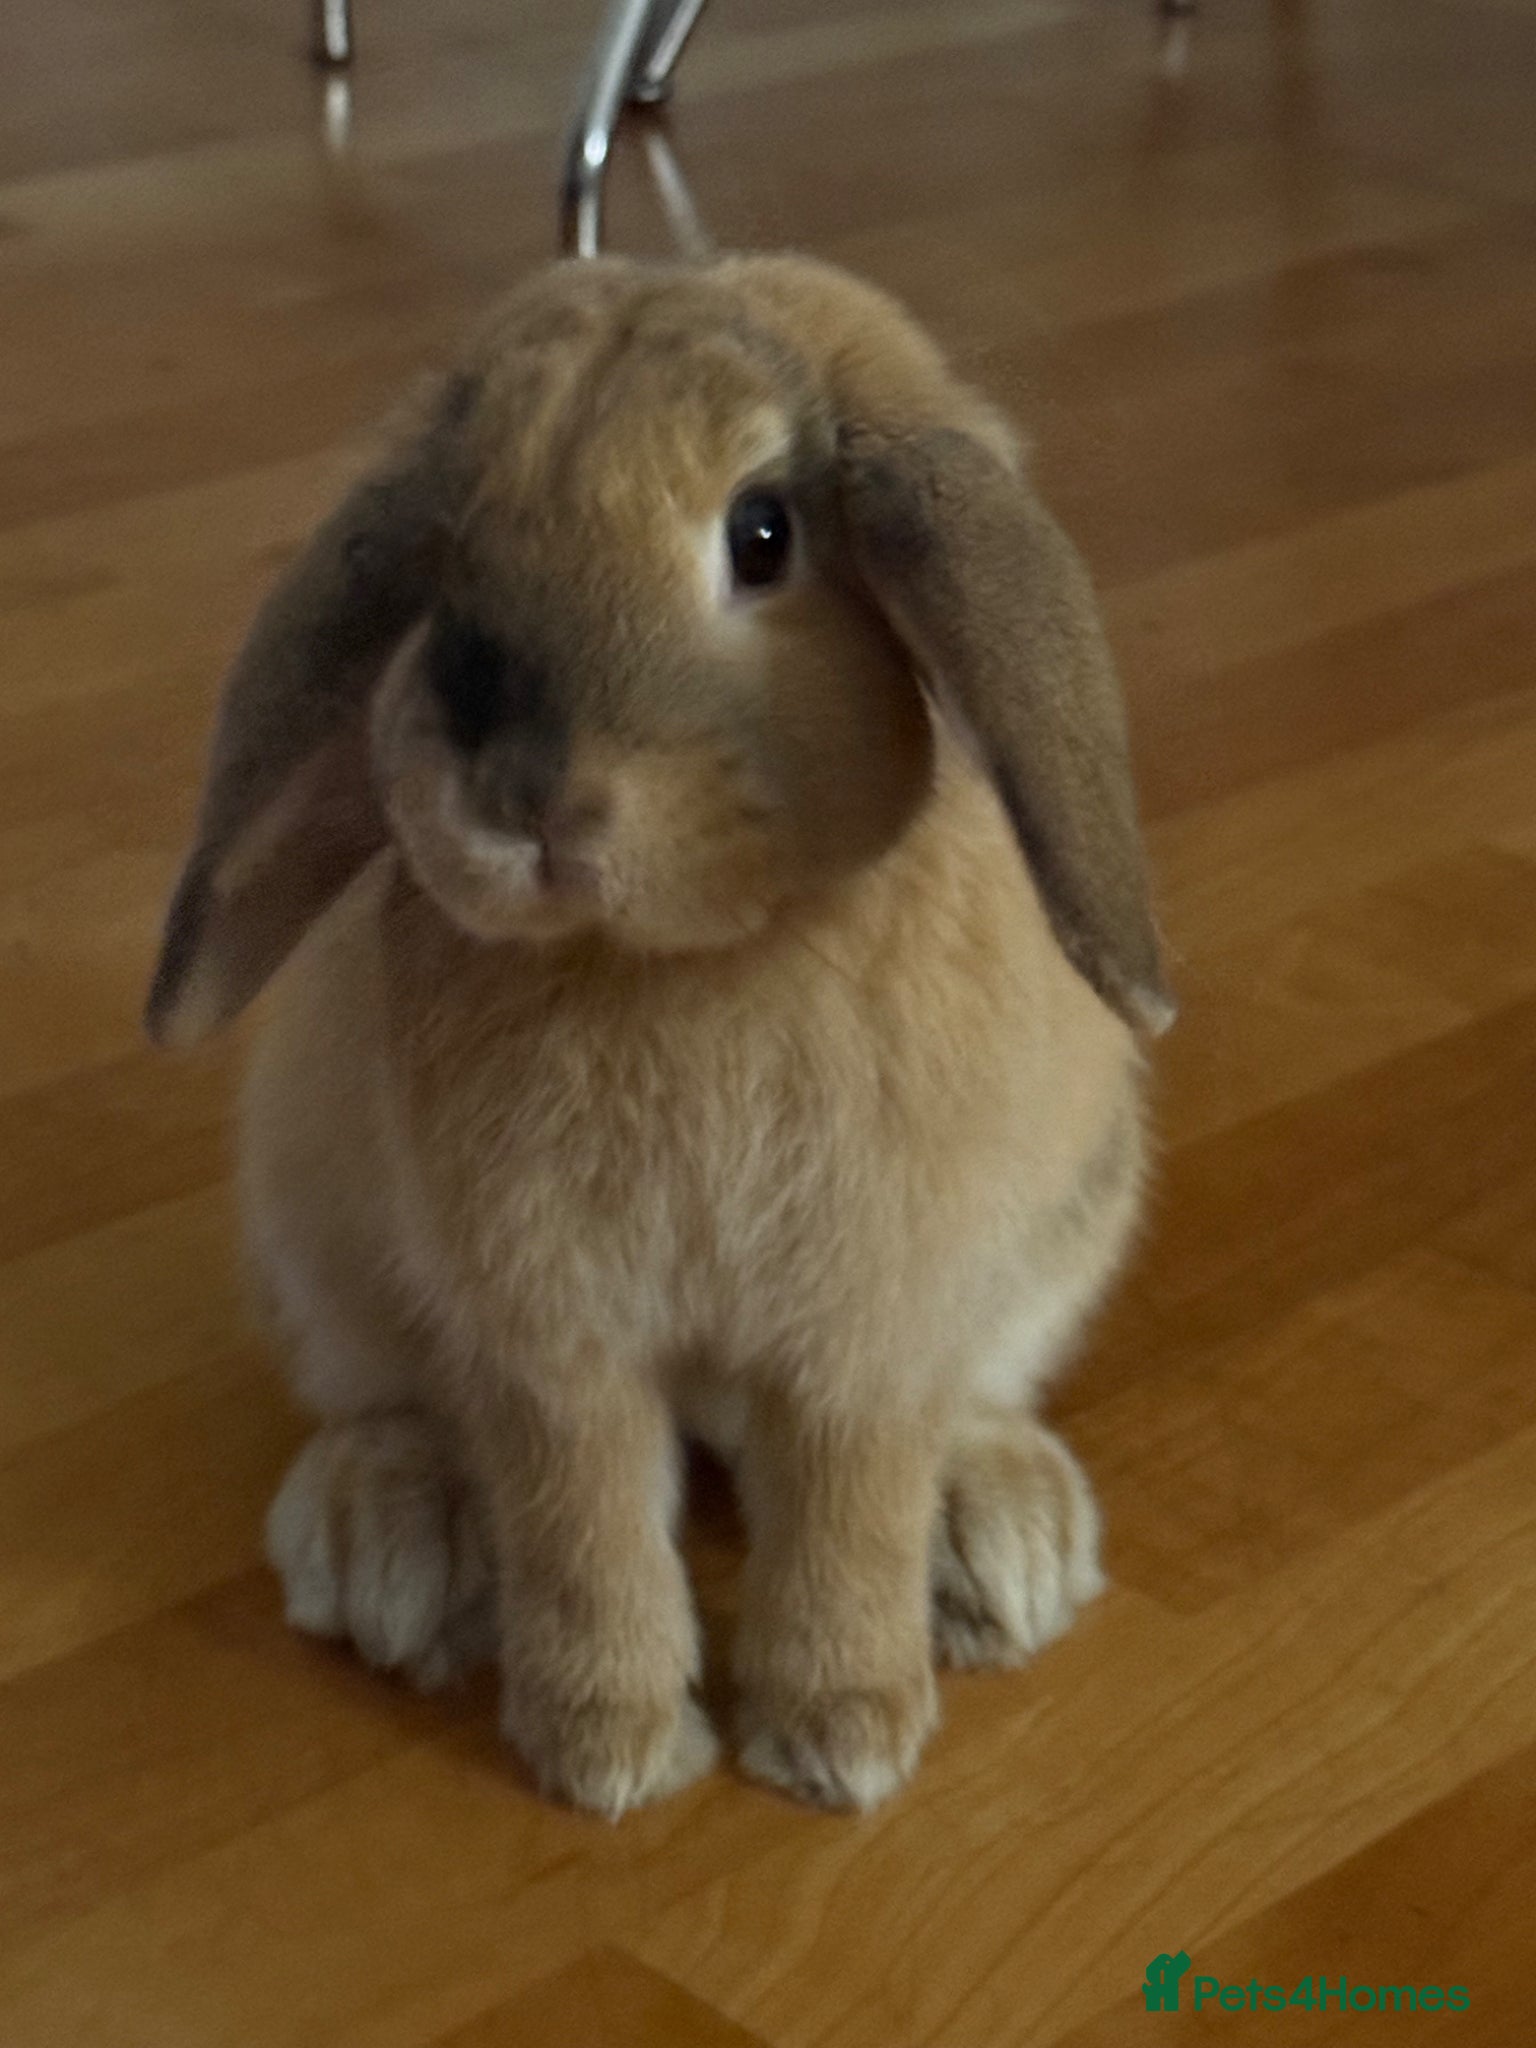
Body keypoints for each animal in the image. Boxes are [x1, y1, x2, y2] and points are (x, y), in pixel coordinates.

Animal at [146, 252, 1173, 1818]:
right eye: (448, 549)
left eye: (764, 533)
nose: (524, 796)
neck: (679, 965)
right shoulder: (545, 1333)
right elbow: (579, 1519)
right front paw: (609, 1753)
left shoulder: (868, 1330)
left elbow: (852, 1506)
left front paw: (843, 1739)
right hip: (314, 1244)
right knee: (383, 1404)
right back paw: (393, 1545)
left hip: (1062, 1232)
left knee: (972, 1404)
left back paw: (998, 1541)